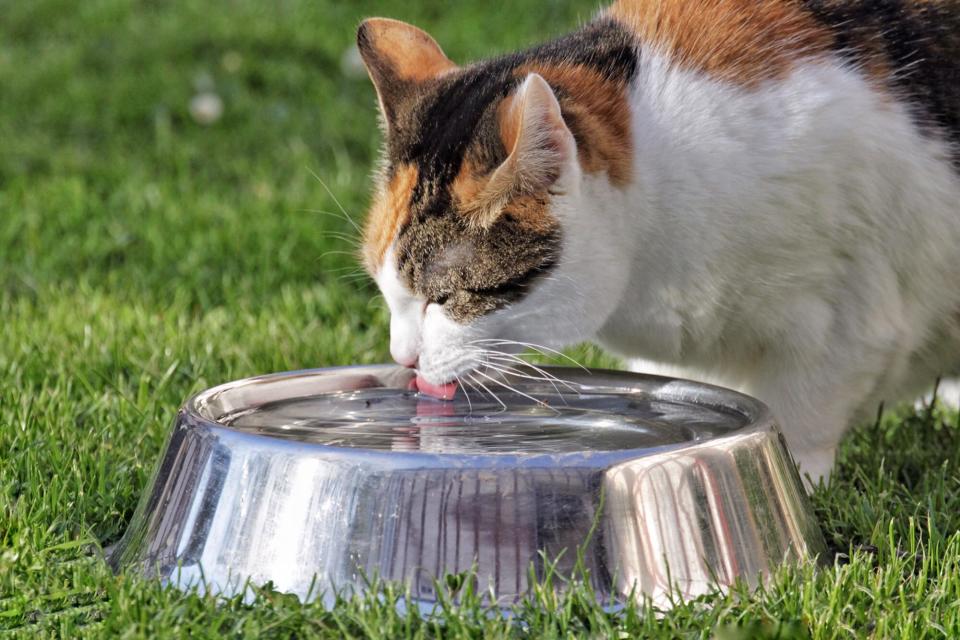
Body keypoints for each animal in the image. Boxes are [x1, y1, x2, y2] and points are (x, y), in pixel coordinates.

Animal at [356, 1, 960, 484]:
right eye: (387, 292)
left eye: (446, 298)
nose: (403, 358)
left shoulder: (847, 315)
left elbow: (801, 413)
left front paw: (797, 479)